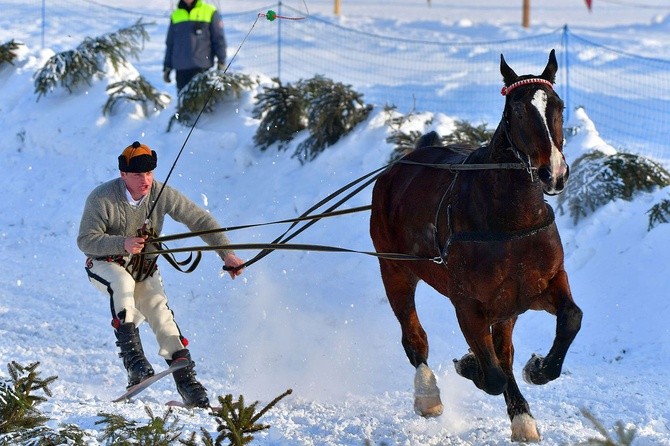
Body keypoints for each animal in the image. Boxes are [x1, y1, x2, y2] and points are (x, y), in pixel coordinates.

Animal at [370, 49, 584, 442]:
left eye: (558, 106)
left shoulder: (540, 285)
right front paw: (471, 365)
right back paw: (428, 395)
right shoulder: (468, 304)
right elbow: (494, 374)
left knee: (503, 351)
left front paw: (538, 369)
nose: (554, 173)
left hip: (506, 307)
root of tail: (400, 166)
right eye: (518, 111)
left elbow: (570, 319)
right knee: (414, 337)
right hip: (394, 269)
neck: (511, 222)